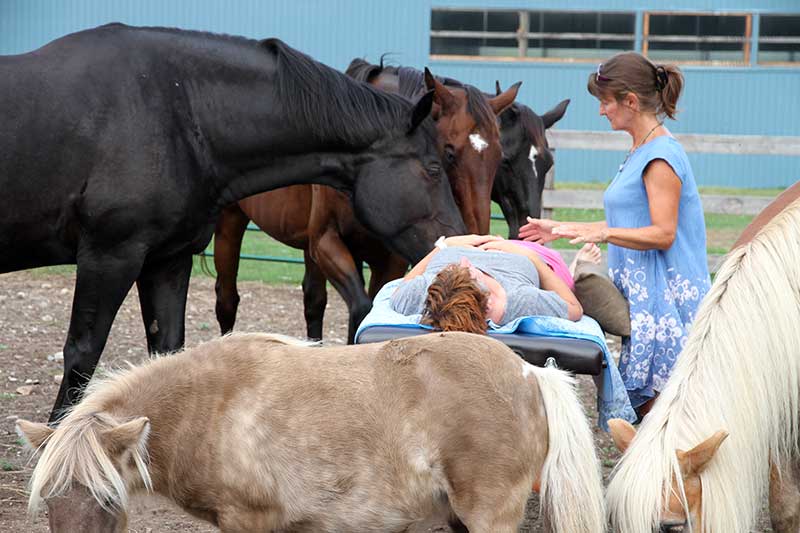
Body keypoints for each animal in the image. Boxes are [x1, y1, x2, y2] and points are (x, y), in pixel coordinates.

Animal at [0, 25, 466, 422]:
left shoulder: (166, 261)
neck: (174, 109)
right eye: (433, 168)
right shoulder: (108, 256)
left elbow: (166, 348)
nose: (461, 241)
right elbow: (83, 353)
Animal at [211, 62, 520, 342]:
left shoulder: (388, 259)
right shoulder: (326, 242)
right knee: (227, 300)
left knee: (313, 302)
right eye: (449, 153)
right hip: (230, 223)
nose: (477, 236)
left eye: (499, 158)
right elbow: (361, 310)